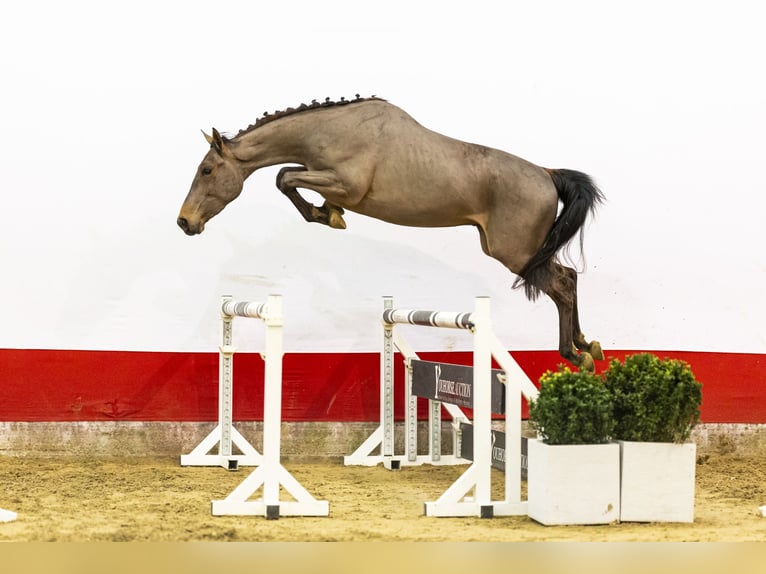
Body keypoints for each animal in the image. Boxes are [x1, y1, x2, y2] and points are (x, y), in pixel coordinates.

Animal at [177, 96, 605, 370]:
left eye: (207, 170)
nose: (184, 222)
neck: (329, 131)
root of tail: (547, 174)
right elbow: (289, 177)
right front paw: (328, 213)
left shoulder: (344, 184)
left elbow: (284, 177)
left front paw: (326, 215)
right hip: (521, 252)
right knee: (569, 277)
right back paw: (589, 345)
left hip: (515, 253)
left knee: (561, 285)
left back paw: (575, 354)